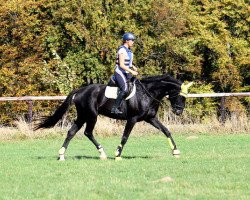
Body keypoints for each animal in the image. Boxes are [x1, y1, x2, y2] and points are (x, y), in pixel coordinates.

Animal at [34, 73, 192, 161]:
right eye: (180, 95)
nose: (178, 112)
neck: (147, 93)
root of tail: (80, 90)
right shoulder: (132, 119)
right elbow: (125, 137)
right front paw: (117, 154)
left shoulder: (150, 118)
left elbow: (166, 131)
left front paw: (176, 151)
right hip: (91, 115)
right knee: (87, 132)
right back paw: (102, 153)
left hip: (83, 116)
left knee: (72, 132)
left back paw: (62, 155)